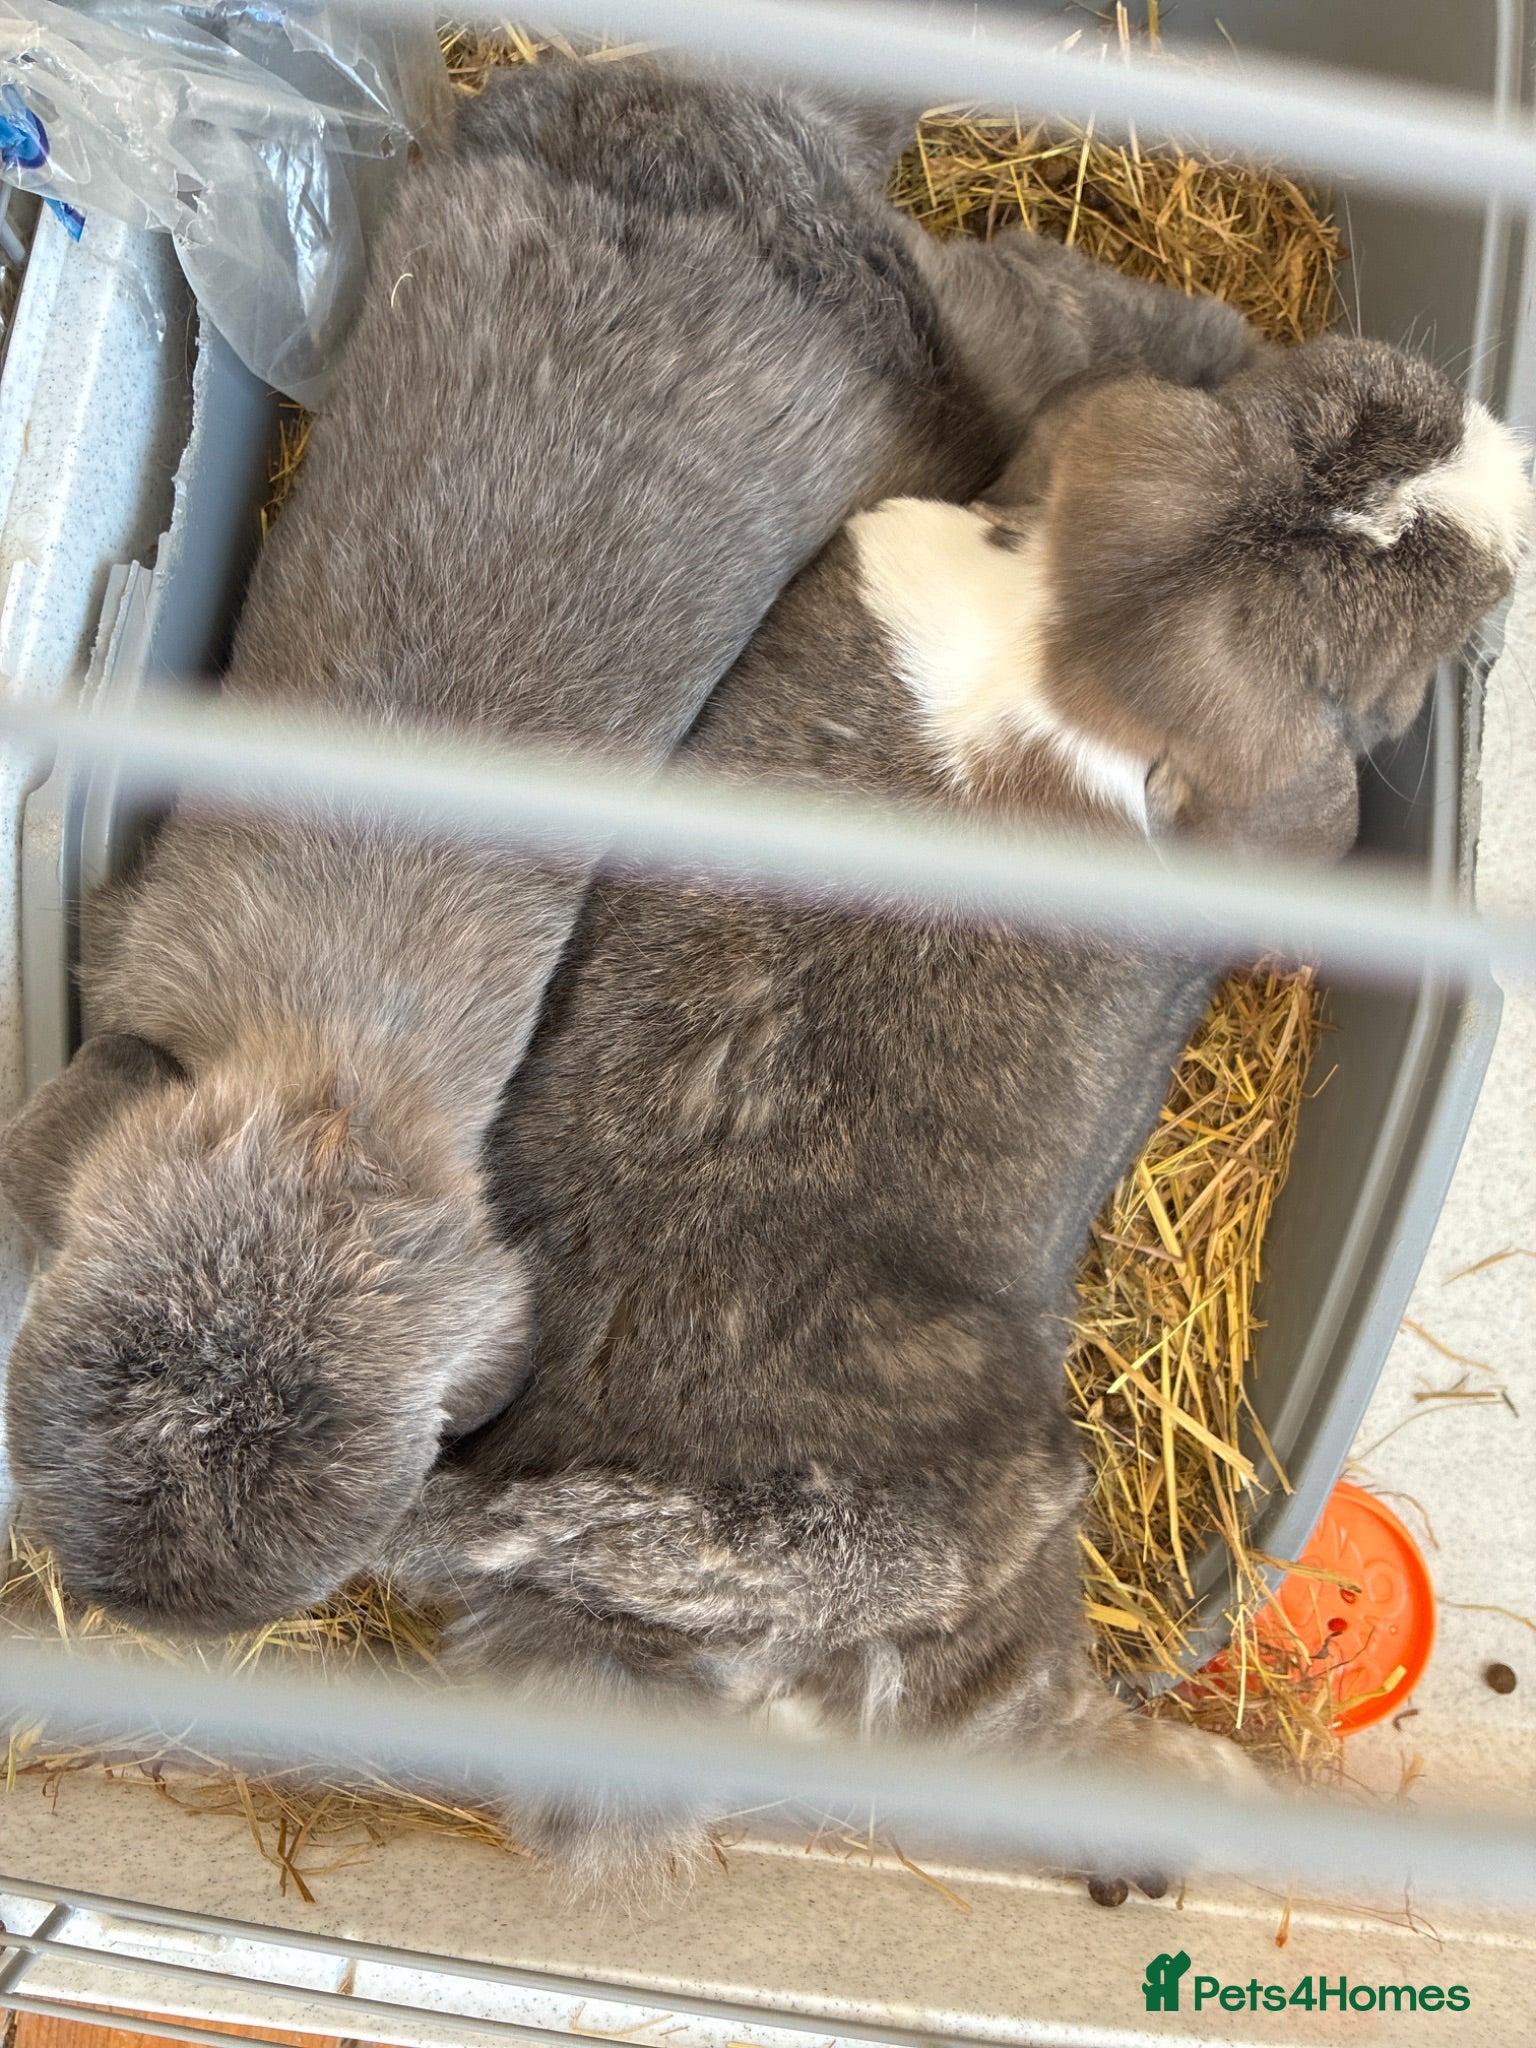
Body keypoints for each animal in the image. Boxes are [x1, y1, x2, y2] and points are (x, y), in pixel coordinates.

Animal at [390, 334, 1533, 1897]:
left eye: (1326, 398)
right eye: (1393, 632)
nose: (1509, 469)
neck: (1067, 652)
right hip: (1005, 1558)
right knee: (1023, 1732)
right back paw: (1198, 1799)